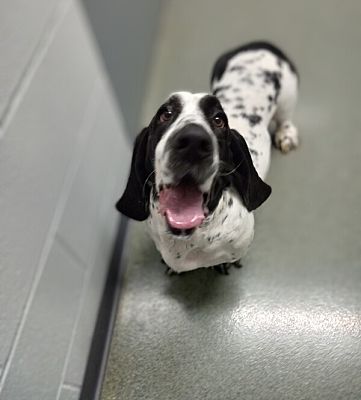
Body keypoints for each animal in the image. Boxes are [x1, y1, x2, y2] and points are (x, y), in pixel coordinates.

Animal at [116, 41, 298, 276]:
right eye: (165, 114)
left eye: (219, 119)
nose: (193, 141)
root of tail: (260, 44)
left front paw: (224, 263)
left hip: (287, 99)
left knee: (285, 119)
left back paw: (286, 135)